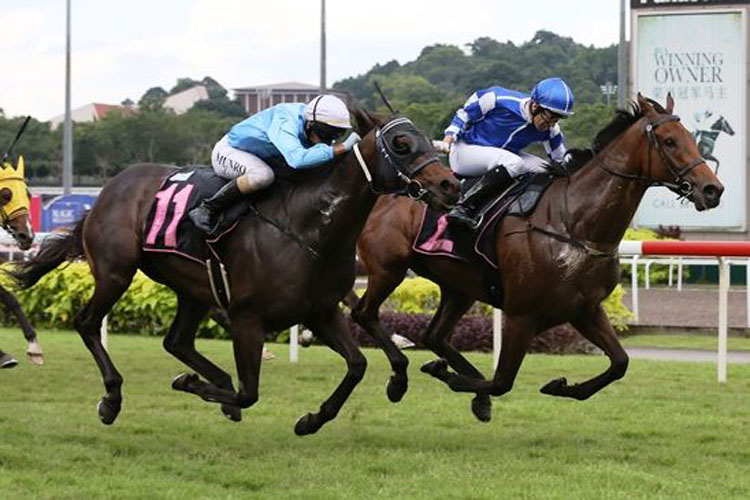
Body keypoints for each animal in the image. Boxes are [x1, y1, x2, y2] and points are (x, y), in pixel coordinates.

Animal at [10, 108, 458, 434]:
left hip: (193, 286)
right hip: (116, 271)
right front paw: (191, 384)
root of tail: (108, 190)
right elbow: (249, 393)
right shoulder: (248, 318)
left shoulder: (321, 311)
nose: (450, 184)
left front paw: (312, 419)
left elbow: (357, 366)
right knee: (88, 323)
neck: (308, 226)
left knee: (176, 341)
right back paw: (112, 399)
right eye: (401, 143)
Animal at [350, 94, 724, 422]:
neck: (574, 223)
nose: (712, 189)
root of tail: (385, 191)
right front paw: (455, 380)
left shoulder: (585, 309)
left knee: (434, 336)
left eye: (691, 138)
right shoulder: (521, 314)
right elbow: (502, 381)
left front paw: (561, 386)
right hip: (388, 269)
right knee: (364, 313)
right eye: (670, 141)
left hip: (459, 286)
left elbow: (620, 362)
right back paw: (401, 378)